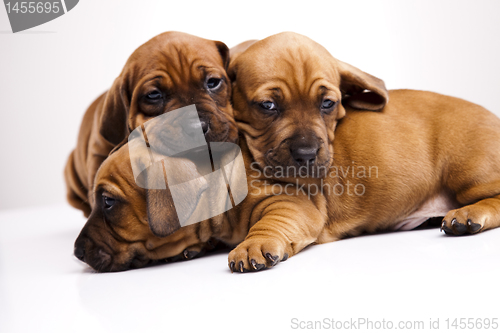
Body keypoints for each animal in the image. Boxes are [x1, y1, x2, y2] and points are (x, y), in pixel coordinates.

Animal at [226, 31, 500, 272]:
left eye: (328, 103)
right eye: (267, 106)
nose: (306, 154)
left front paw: (254, 244)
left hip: (469, 170)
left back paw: (468, 214)